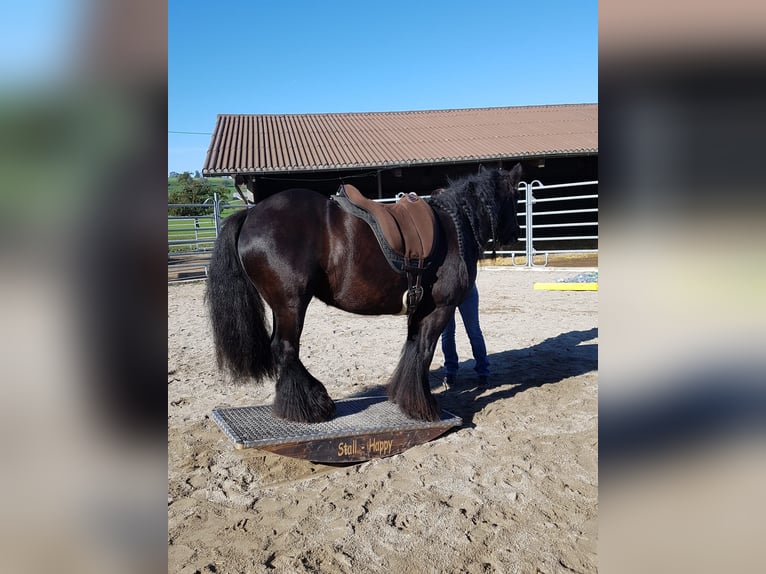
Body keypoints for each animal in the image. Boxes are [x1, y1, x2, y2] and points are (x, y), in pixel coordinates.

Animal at [207, 164, 524, 426]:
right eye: (515, 196)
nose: (515, 235)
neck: (454, 225)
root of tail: (251, 213)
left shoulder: (420, 308)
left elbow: (412, 348)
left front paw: (403, 399)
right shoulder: (440, 309)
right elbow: (423, 352)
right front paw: (423, 408)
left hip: (281, 306)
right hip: (291, 305)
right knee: (285, 349)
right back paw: (312, 406)